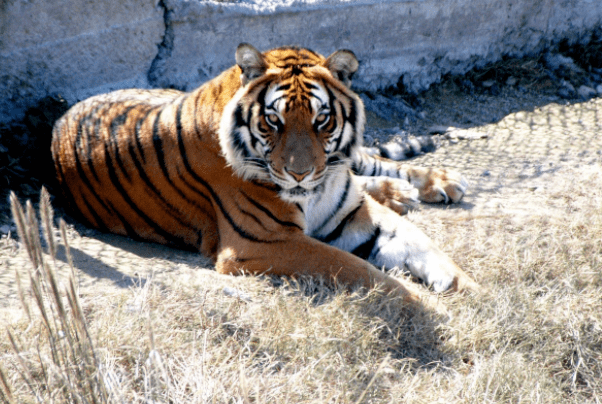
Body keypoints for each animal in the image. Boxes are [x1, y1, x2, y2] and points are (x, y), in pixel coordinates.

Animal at [54, 44, 480, 304]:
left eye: (322, 120)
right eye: (273, 120)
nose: (300, 174)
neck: (319, 187)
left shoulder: (353, 212)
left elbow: (422, 244)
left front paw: (469, 288)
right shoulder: (263, 241)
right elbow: (353, 266)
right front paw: (426, 303)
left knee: (370, 162)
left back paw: (434, 183)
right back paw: (401, 191)